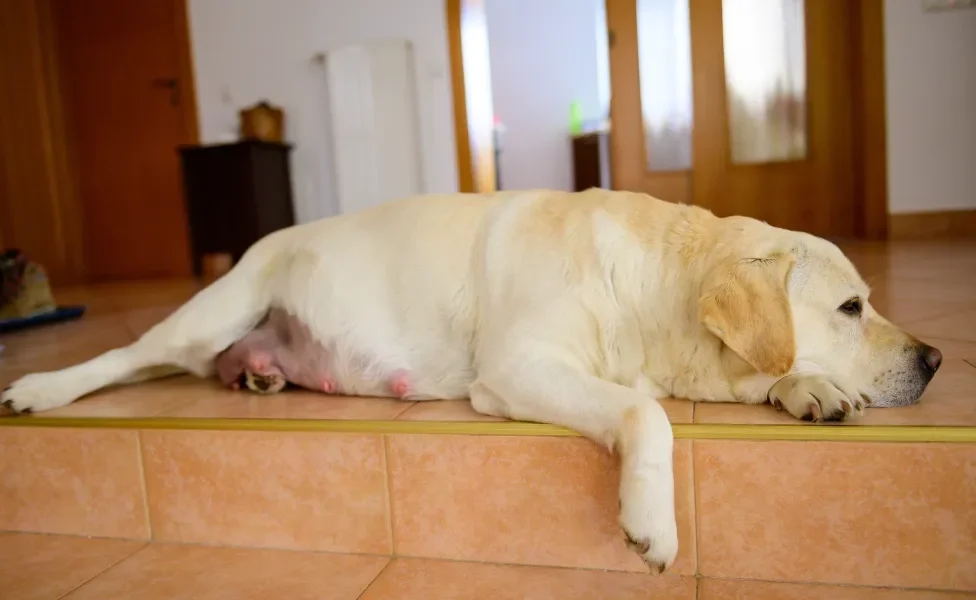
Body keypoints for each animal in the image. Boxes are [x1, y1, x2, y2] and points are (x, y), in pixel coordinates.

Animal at [1, 189, 944, 572]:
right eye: (852, 306)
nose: (937, 360)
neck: (651, 284)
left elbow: (766, 379)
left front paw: (810, 391)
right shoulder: (518, 369)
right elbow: (647, 412)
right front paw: (651, 520)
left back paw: (263, 376)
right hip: (208, 314)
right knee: (125, 358)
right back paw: (40, 389)